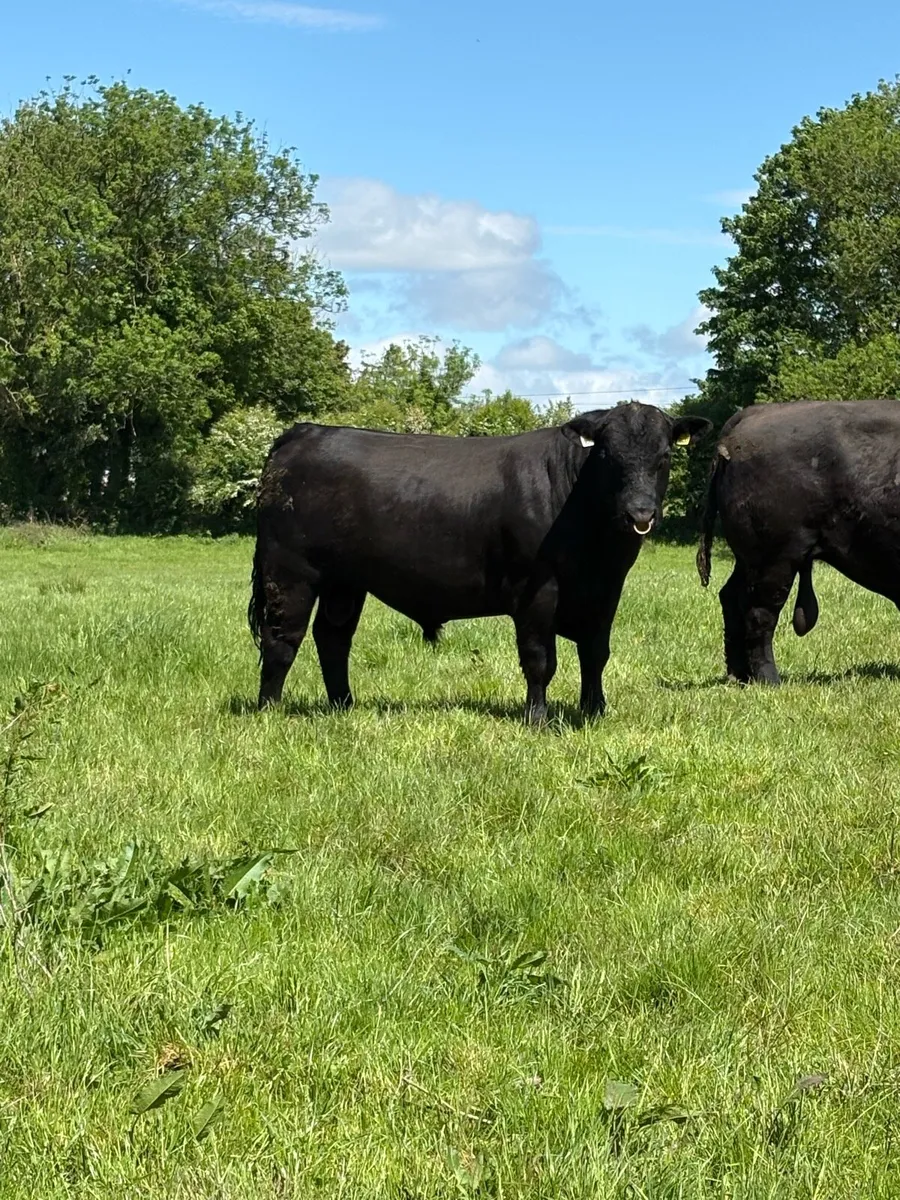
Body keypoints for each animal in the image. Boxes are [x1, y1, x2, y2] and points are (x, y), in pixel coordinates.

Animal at [248, 402, 711, 723]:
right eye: (607, 457)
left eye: (664, 457)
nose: (640, 514)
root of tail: (305, 432)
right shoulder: (537, 589)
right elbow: (540, 658)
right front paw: (537, 719)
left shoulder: (605, 591)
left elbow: (595, 653)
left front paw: (595, 710)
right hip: (290, 571)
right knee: (282, 639)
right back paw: (270, 711)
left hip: (345, 582)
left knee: (333, 638)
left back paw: (344, 705)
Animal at [697, 398, 900, 684]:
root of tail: (752, 414)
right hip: (776, 561)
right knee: (759, 613)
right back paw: (769, 679)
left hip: (751, 561)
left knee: (732, 598)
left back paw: (739, 676)